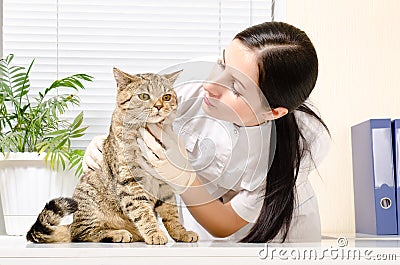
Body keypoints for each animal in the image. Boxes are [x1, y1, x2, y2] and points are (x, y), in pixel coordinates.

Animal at [26, 67, 198, 243]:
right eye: (144, 96)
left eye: (166, 97)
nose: (159, 106)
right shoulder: (129, 180)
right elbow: (143, 211)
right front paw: (154, 232)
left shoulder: (164, 183)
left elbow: (171, 213)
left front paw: (181, 232)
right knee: (83, 233)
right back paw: (118, 233)